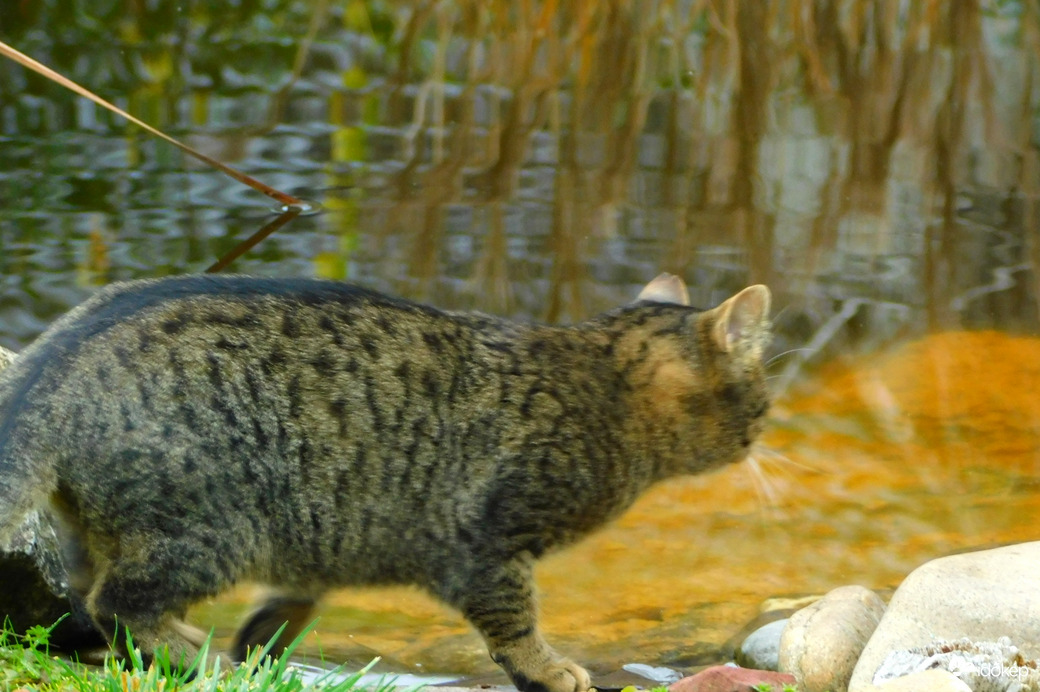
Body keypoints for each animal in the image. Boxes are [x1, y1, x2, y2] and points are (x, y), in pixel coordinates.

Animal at [0, 272, 773, 686]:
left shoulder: (323, 532)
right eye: (763, 399)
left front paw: (267, 639)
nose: (765, 429)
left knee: (82, 605)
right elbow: (515, 622)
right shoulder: (488, 549)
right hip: (209, 527)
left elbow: (295, 596)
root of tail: (48, 364)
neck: (598, 379)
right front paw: (548, 667)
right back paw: (201, 657)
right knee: (115, 603)